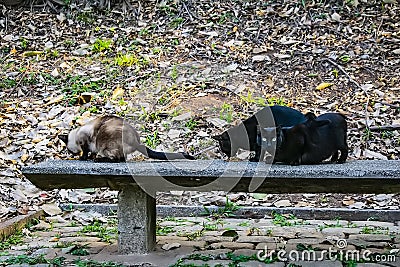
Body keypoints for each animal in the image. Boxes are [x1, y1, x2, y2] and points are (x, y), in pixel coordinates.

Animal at [59, 114, 195, 161]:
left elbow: (86, 151)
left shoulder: (85, 141)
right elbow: (91, 152)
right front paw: (89, 157)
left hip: (105, 145)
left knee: (117, 159)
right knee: (122, 159)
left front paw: (83, 158)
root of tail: (136, 142)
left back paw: (100, 160)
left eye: (69, 150)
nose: (72, 154)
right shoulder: (92, 147)